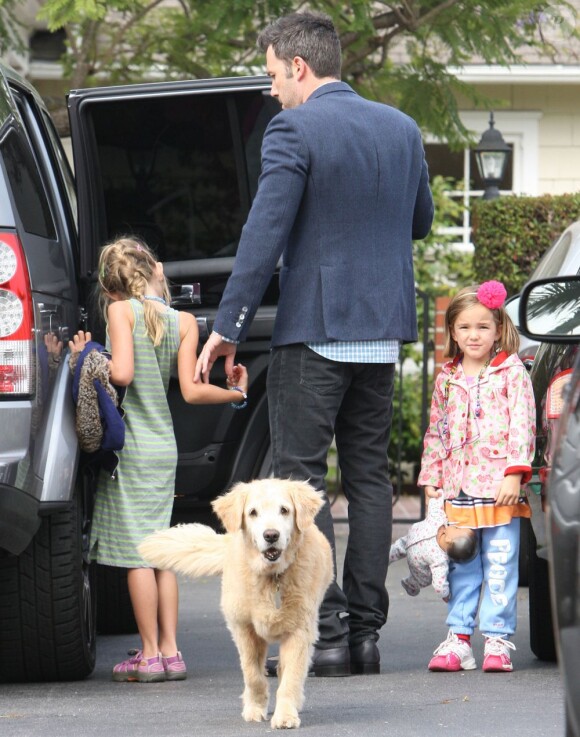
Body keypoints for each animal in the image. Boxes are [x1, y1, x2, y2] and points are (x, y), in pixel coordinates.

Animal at [138, 478, 334, 732]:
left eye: (284, 510)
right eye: (253, 512)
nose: (271, 535)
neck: (271, 576)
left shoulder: (299, 630)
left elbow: (291, 676)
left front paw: (285, 715)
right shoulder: (243, 628)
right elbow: (252, 674)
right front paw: (255, 708)